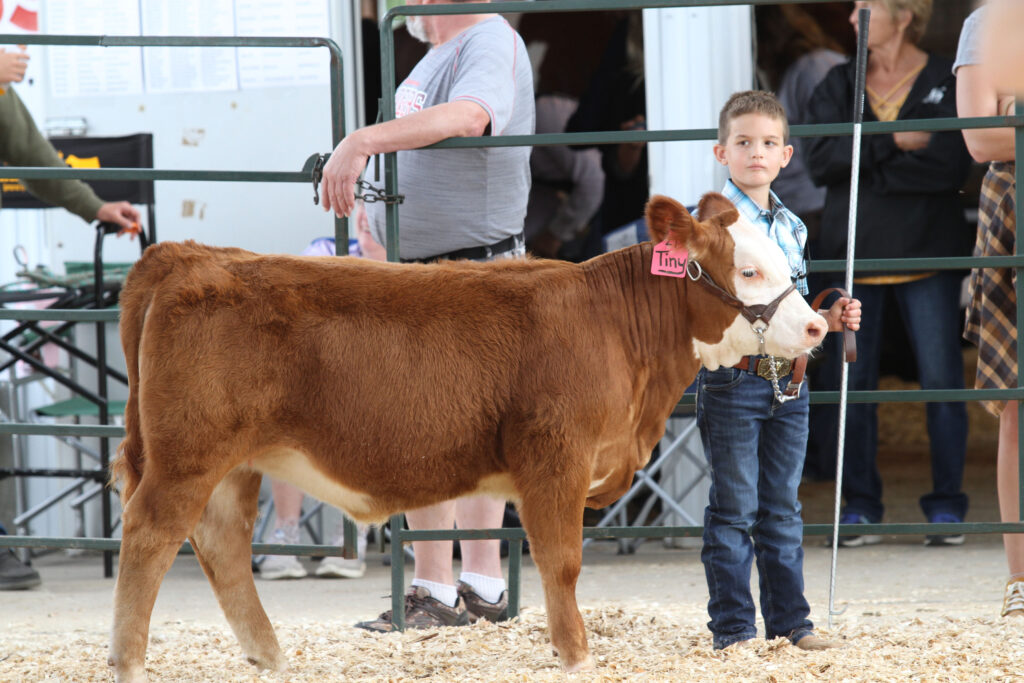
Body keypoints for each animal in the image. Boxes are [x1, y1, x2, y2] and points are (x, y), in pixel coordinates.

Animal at [108, 191, 827, 679]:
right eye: (749, 271)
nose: (818, 326)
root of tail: (189, 256)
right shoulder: (555, 460)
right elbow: (561, 562)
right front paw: (577, 655)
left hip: (232, 462)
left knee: (221, 542)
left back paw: (270, 656)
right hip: (189, 454)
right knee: (149, 534)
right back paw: (130, 662)